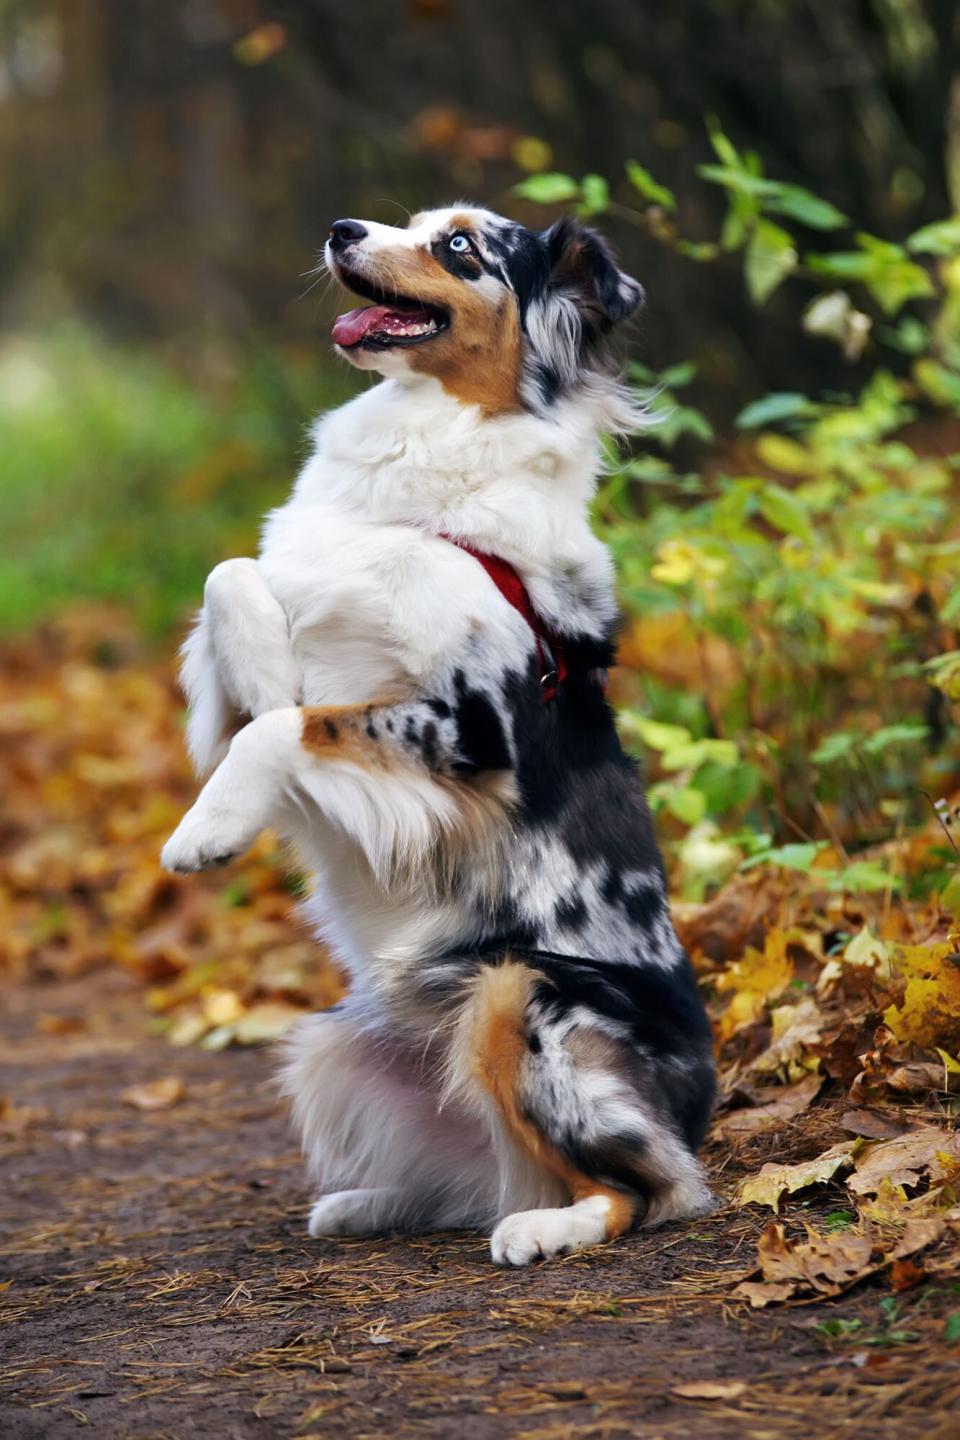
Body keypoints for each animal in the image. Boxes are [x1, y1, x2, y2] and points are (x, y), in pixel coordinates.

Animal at [161, 203, 713, 1261]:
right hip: (334, 1037)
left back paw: (547, 1228)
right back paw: (372, 1203)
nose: (341, 227)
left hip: (521, 992)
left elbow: (286, 727)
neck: (427, 467)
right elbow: (232, 580)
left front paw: (206, 829)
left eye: (460, 246)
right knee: (480, 1178)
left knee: (649, 1185)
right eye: (406, 222)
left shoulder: (474, 732)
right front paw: (264, 668)